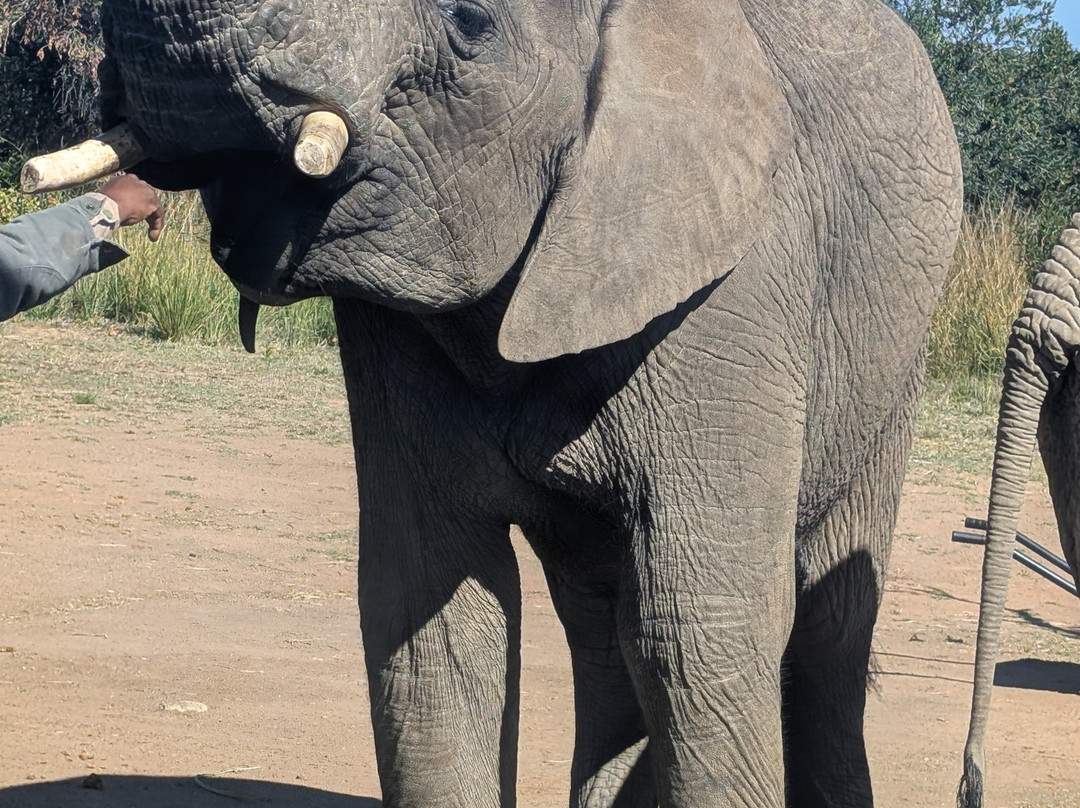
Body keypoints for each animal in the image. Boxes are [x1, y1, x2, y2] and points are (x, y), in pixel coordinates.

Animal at [32, 0, 962, 804]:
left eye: (470, 22)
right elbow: (431, 616)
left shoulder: (735, 293)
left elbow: (698, 630)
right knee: (602, 627)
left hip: (895, 357)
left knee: (826, 629)